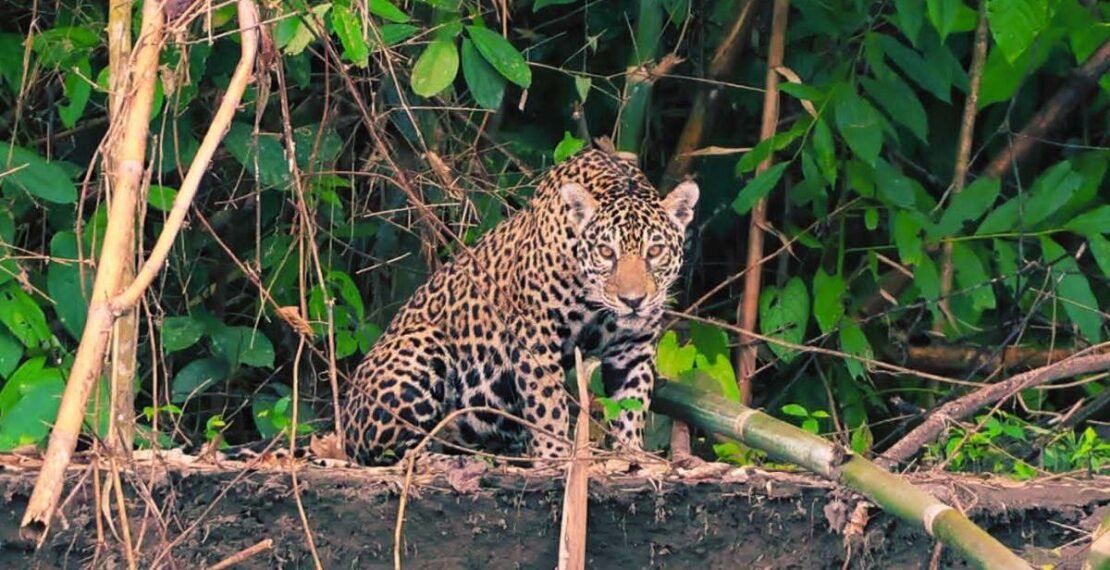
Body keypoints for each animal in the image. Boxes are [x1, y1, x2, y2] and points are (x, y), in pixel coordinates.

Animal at [341, 149, 699, 465]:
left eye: (655, 252)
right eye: (606, 252)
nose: (633, 300)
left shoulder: (633, 346)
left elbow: (631, 404)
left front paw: (631, 456)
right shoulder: (536, 335)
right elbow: (547, 404)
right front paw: (555, 458)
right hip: (422, 345)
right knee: (387, 453)